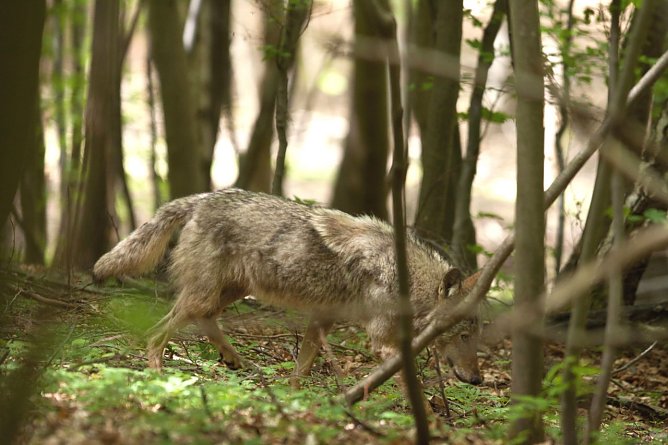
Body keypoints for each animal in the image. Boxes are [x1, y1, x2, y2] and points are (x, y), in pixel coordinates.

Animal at [93, 188, 483, 386]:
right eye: (463, 335)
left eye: (473, 336)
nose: (479, 380)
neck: (404, 275)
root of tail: (201, 198)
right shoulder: (380, 341)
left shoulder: (322, 320)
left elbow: (302, 368)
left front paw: (298, 401)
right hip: (205, 296)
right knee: (158, 332)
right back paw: (159, 378)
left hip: (227, 293)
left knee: (205, 323)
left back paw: (238, 362)